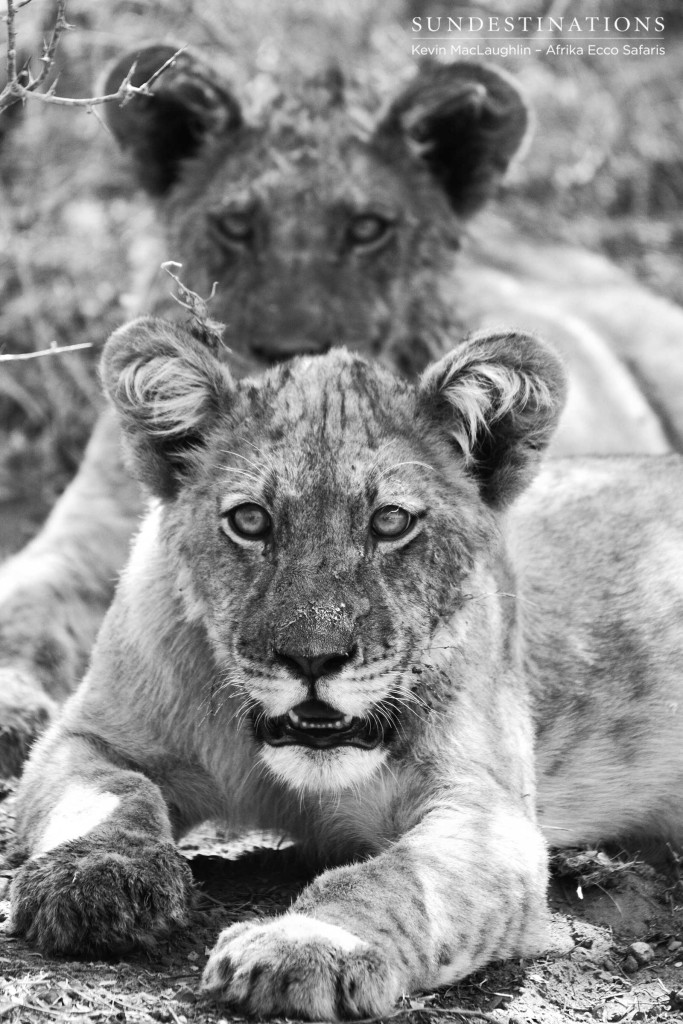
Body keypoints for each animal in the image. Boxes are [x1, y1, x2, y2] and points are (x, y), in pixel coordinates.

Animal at [9, 315, 683, 1019]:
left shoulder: (485, 810)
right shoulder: (88, 735)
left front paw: (307, 944)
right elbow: (109, 793)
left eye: (390, 521)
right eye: (250, 519)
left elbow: (396, 881)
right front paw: (95, 876)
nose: (313, 658)